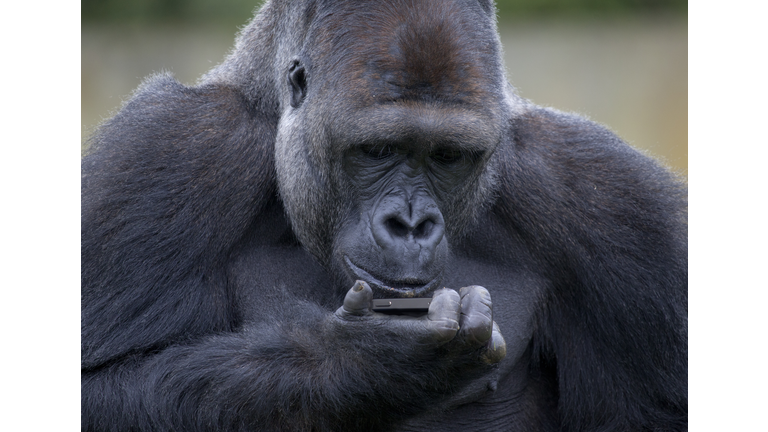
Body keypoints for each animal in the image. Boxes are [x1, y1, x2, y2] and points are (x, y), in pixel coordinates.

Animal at [81, 1, 688, 430]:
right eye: (377, 150)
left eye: (447, 156)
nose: (412, 225)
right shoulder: (172, 151)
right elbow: (98, 389)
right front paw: (370, 364)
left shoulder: (609, 200)